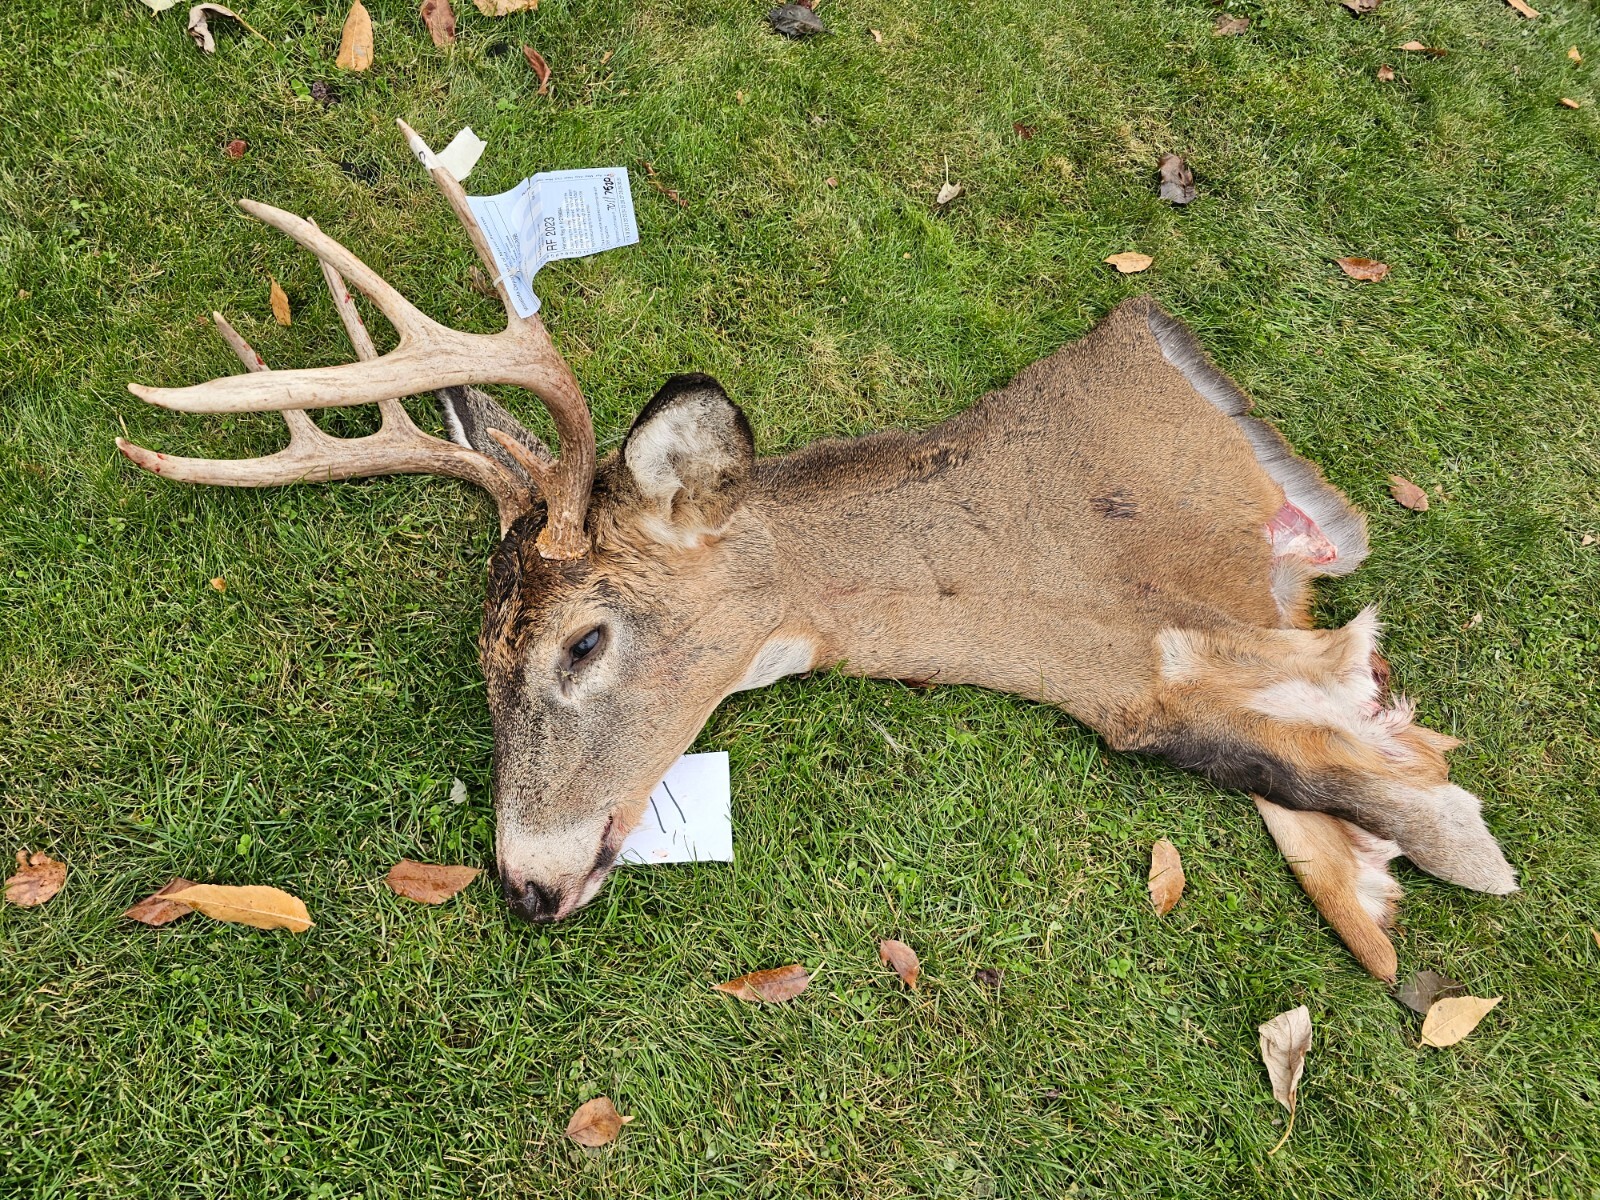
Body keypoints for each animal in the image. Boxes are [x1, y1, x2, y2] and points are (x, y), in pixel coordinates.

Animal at [117, 122, 1516, 982]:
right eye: (480, 657)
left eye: (585, 639)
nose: (524, 885)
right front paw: (1399, 865)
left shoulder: (1165, 656)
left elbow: (1303, 751)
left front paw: (1459, 840)